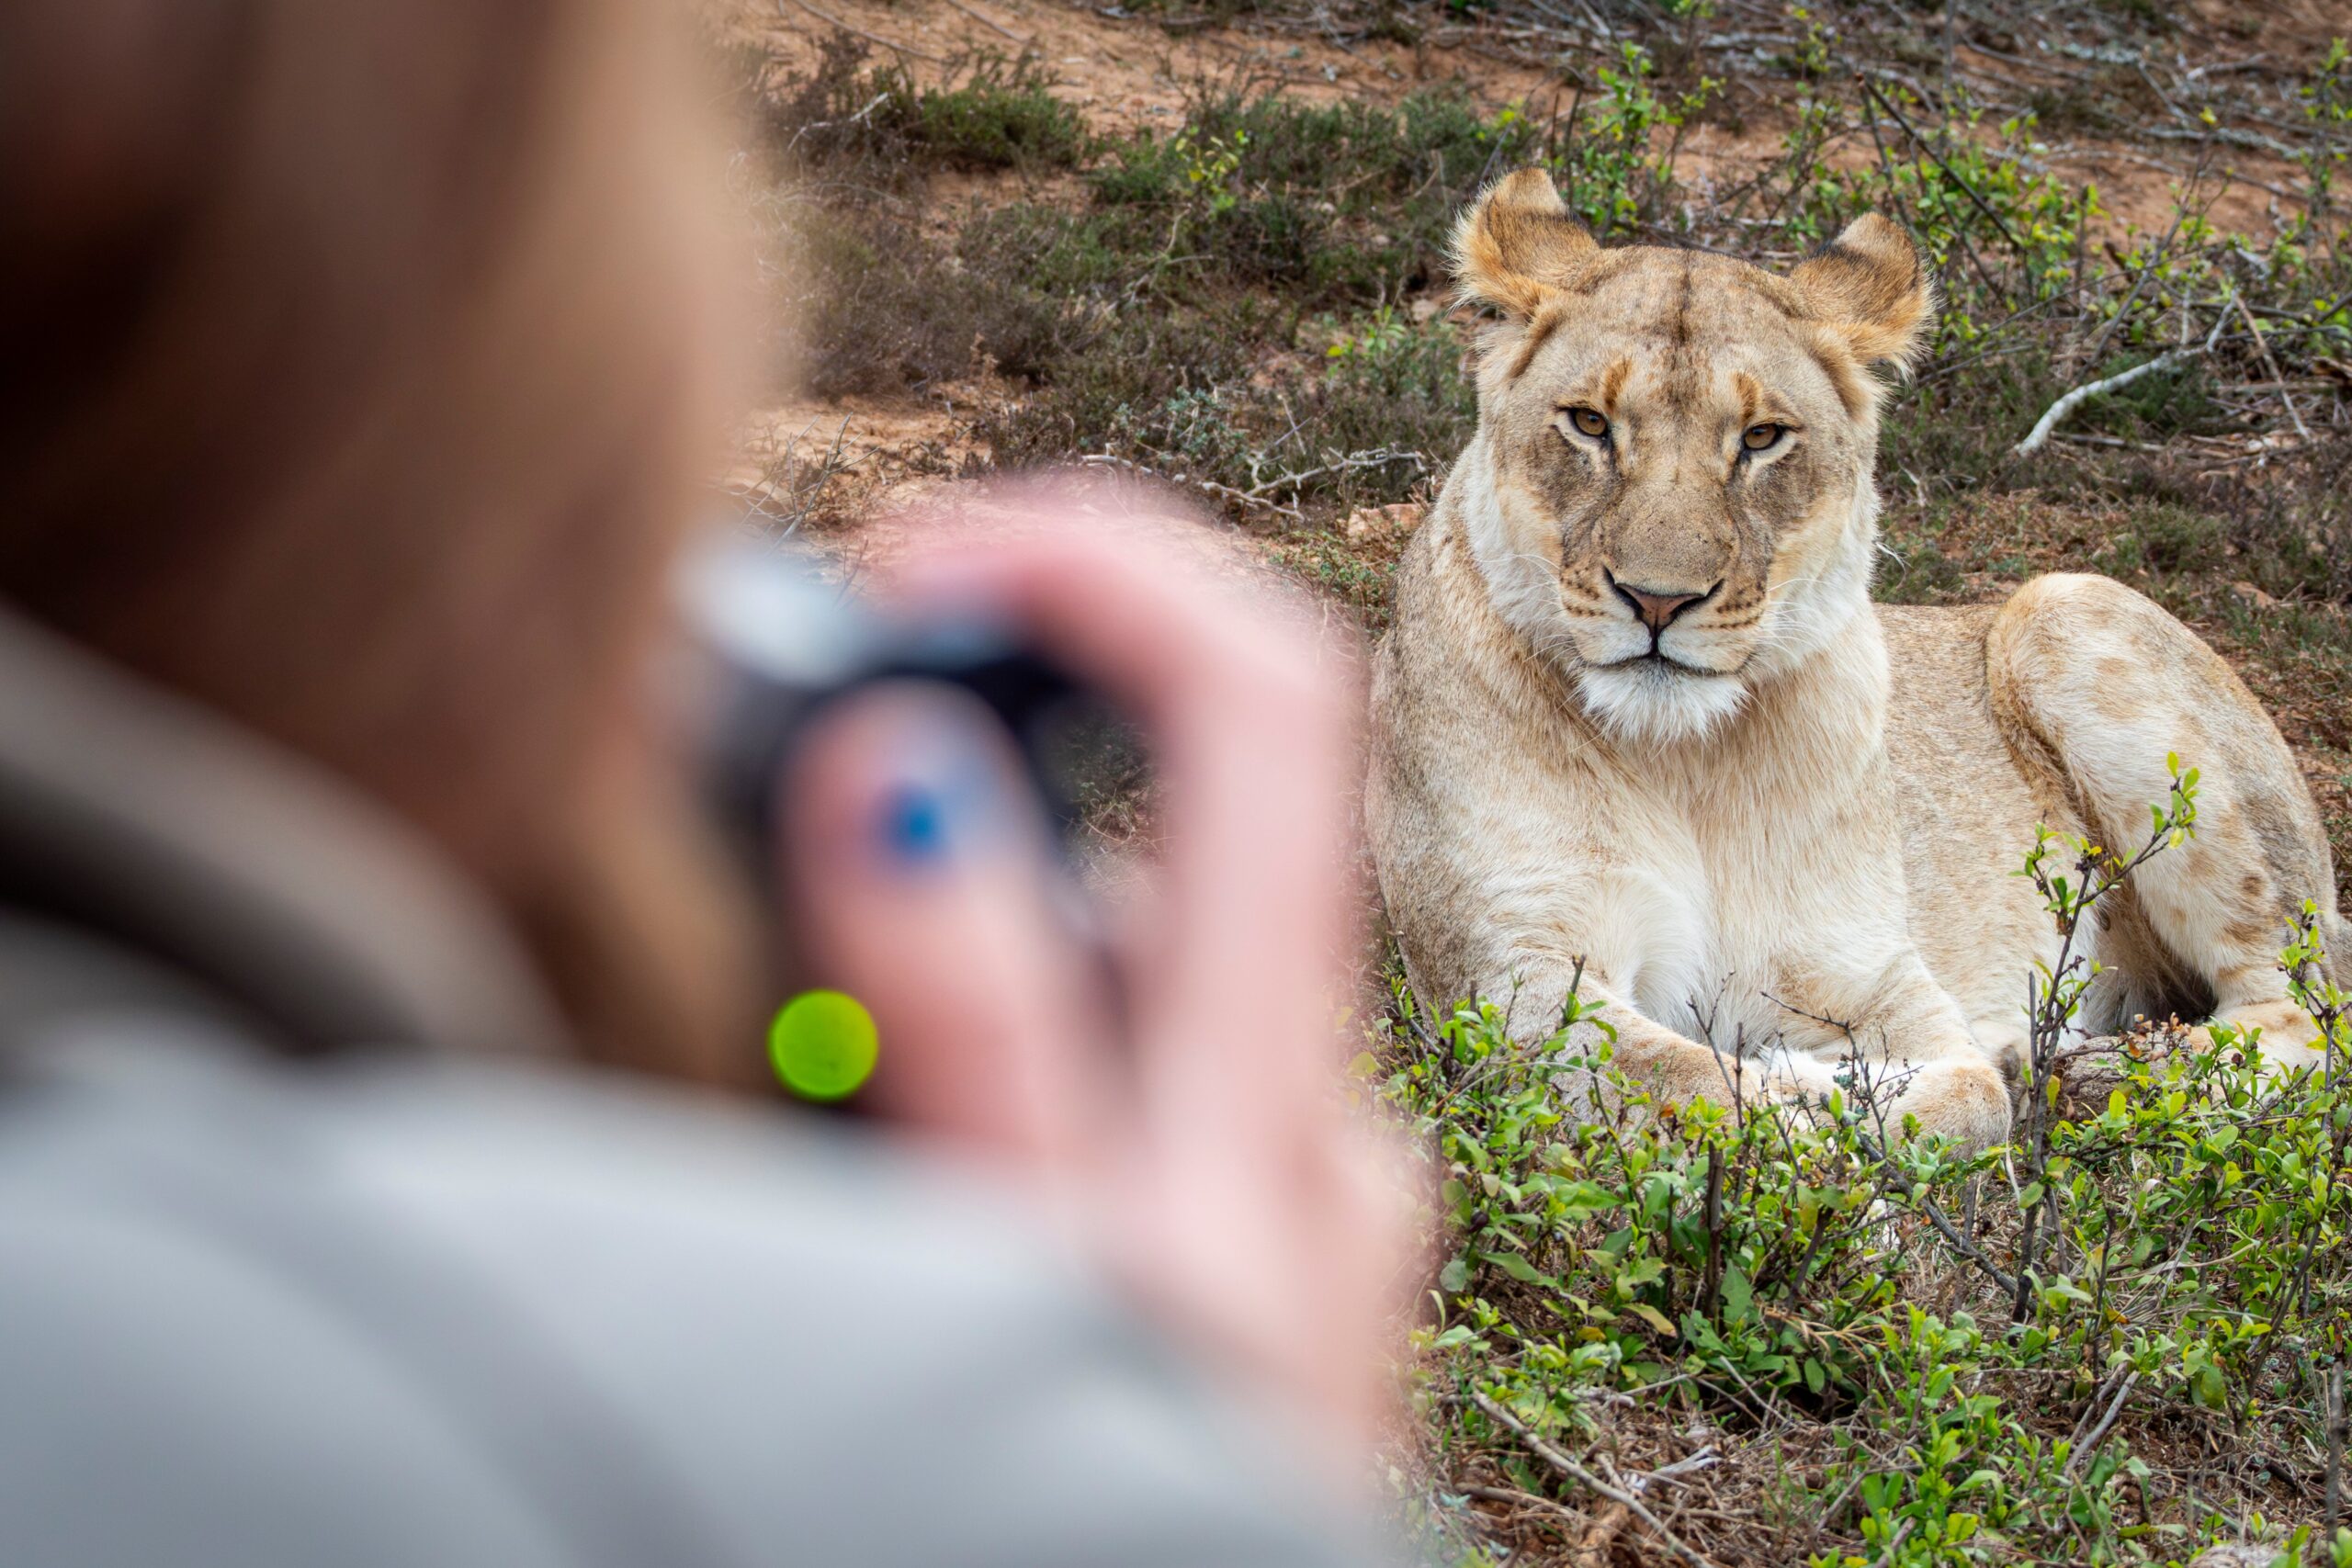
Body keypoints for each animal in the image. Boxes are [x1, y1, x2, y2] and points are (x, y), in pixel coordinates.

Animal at [1365, 168, 2350, 1146]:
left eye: (1762, 437)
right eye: (1588, 423)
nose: (1658, 599)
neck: (1686, 765)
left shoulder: (1868, 970)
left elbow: (1962, 1093)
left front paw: (1848, 1084)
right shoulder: (1511, 976)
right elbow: (1689, 1081)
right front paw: (1808, 1090)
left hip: (2066, 606)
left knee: (2310, 1012)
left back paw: (2108, 1071)